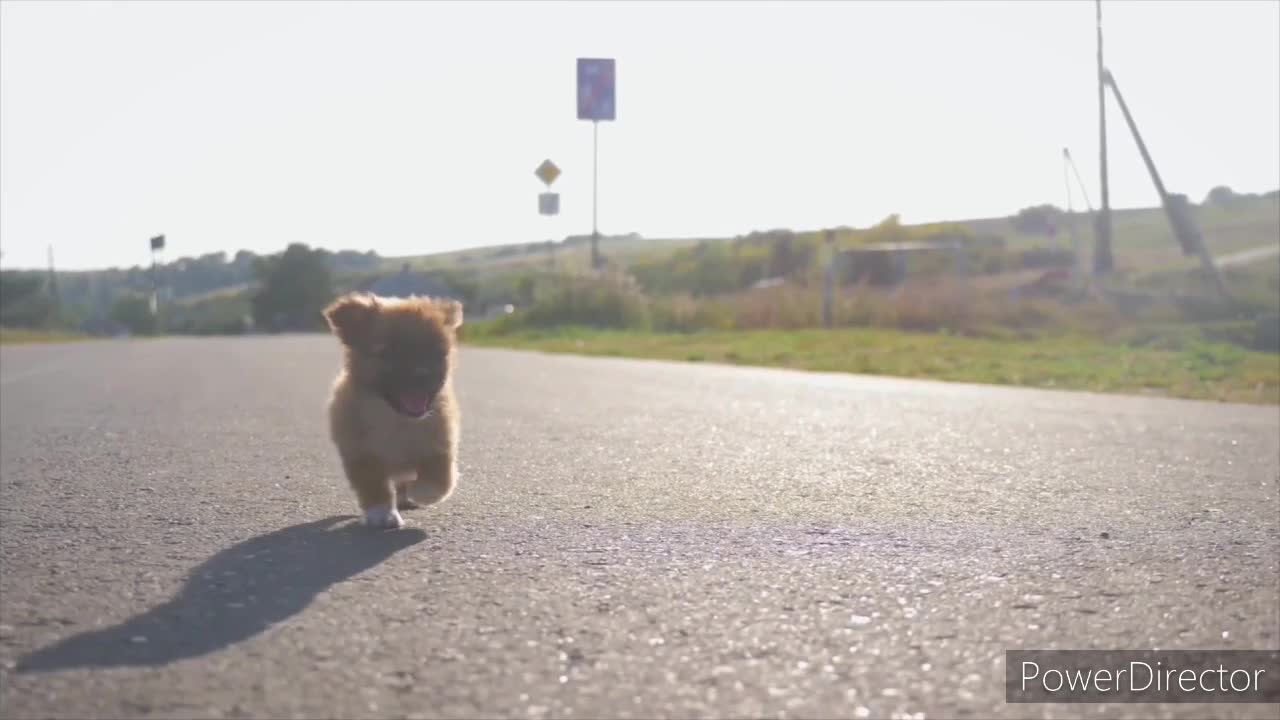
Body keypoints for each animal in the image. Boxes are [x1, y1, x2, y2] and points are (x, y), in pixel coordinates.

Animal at [322, 292, 463, 527]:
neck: (396, 419)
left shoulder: (439, 446)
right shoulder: (360, 454)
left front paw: (420, 492)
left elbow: (438, 481)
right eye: (388, 354)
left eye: (437, 353)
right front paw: (380, 513)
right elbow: (373, 486)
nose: (422, 373)